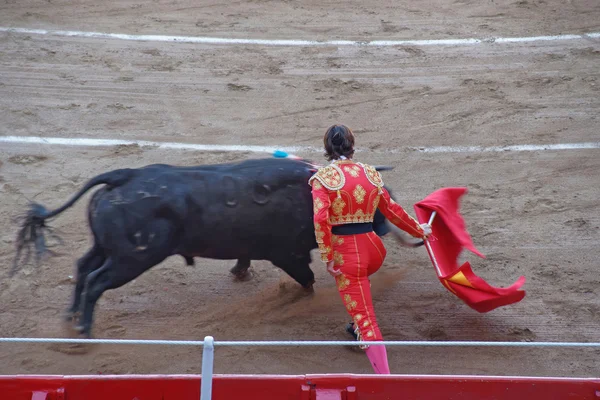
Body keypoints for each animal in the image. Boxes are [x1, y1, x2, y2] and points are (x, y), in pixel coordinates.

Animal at [10, 158, 422, 336]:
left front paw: (240, 273)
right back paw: (83, 329)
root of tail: (123, 175)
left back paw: (69, 317)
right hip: (131, 258)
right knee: (96, 280)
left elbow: (246, 257)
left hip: (106, 246)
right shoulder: (286, 253)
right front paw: (299, 299)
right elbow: (304, 277)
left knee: (82, 268)